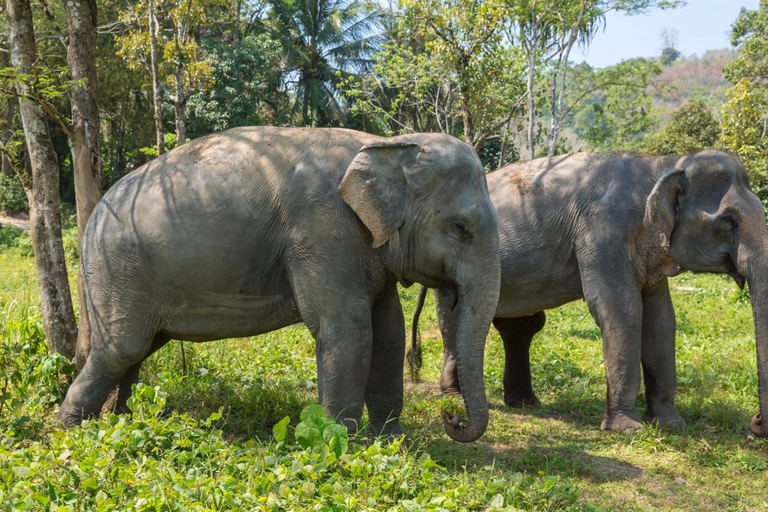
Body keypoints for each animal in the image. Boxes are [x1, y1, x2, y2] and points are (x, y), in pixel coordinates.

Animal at [61, 126, 504, 442]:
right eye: (461, 228)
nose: (452, 417)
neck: (388, 144)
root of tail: (92, 216)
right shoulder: (323, 231)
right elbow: (347, 330)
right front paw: (341, 444)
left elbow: (389, 332)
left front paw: (393, 443)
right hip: (118, 271)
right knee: (121, 348)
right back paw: (69, 429)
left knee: (137, 350)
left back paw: (122, 420)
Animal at [412, 150, 768, 438]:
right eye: (729, 220)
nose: (755, 424)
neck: (662, 162)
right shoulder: (603, 233)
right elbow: (621, 312)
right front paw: (627, 430)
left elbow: (662, 320)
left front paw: (670, 424)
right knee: (454, 319)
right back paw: (455, 400)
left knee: (521, 327)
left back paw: (524, 404)